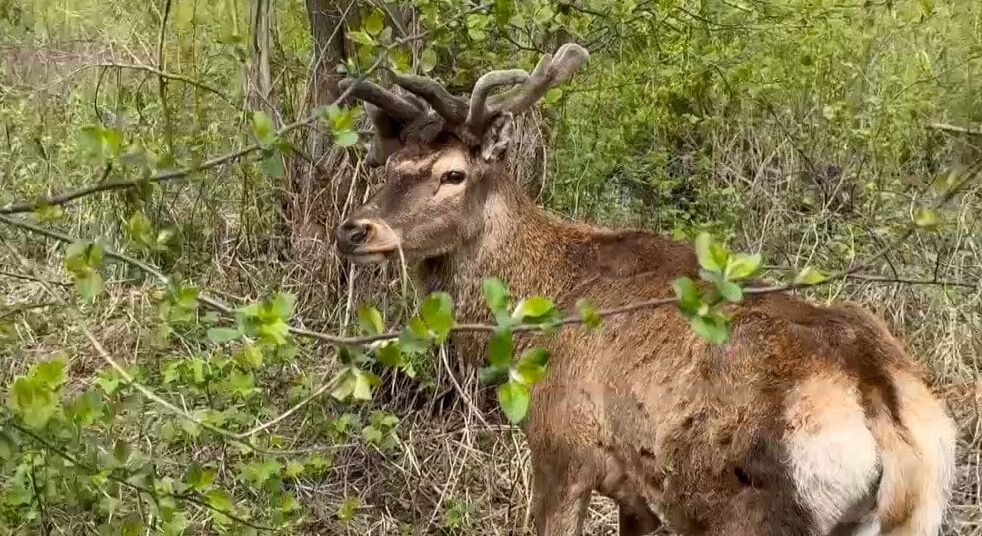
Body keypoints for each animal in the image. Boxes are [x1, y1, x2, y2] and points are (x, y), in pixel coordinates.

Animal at [333, 43, 957, 536]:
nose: (356, 230)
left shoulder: (562, 451)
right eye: (390, 164)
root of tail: (879, 404)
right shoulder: (637, 493)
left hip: (762, 515)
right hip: (918, 517)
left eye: (453, 173)